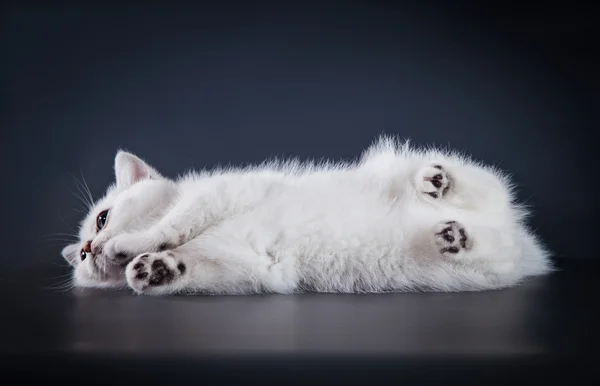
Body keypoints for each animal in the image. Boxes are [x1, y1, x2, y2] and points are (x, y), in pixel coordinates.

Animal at [61, 136, 552, 296]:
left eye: (102, 219)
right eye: (81, 259)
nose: (88, 247)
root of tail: (524, 240)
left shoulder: (219, 193)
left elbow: (169, 225)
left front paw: (131, 247)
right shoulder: (253, 266)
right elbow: (200, 268)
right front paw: (157, 270)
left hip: (461, 185)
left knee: (483, 183)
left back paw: (437, 180)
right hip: (479, 270)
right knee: (488, 248)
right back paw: (454, 236)